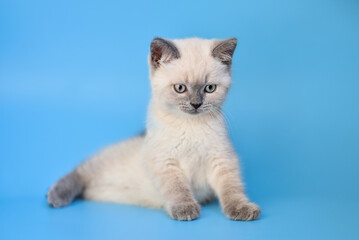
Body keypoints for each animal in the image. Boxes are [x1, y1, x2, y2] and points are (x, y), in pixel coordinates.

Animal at [47, 37, 262, 221]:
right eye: (180, 88)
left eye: (209, 88)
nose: (195, 104)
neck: (190, 125)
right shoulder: (164, 162)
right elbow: (178, 189)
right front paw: (186, 209)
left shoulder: (222, 159)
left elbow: (231, 189)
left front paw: (243, 209)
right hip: (105, 162)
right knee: (79, 172)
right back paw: (56, 197)